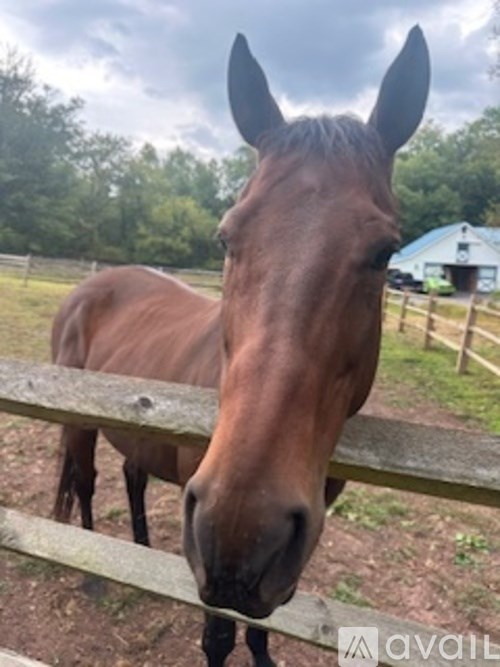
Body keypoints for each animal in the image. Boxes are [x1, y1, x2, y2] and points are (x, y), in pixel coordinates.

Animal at [52, 26, 430, 666]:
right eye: (226, 238)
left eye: (384, 252)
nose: (239, 528)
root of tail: (88, 287)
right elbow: (219, 635)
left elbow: (264, 619)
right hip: (80, 424)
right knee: (84, 481)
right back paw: (93, 574)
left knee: (131, 476)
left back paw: (140, 551)